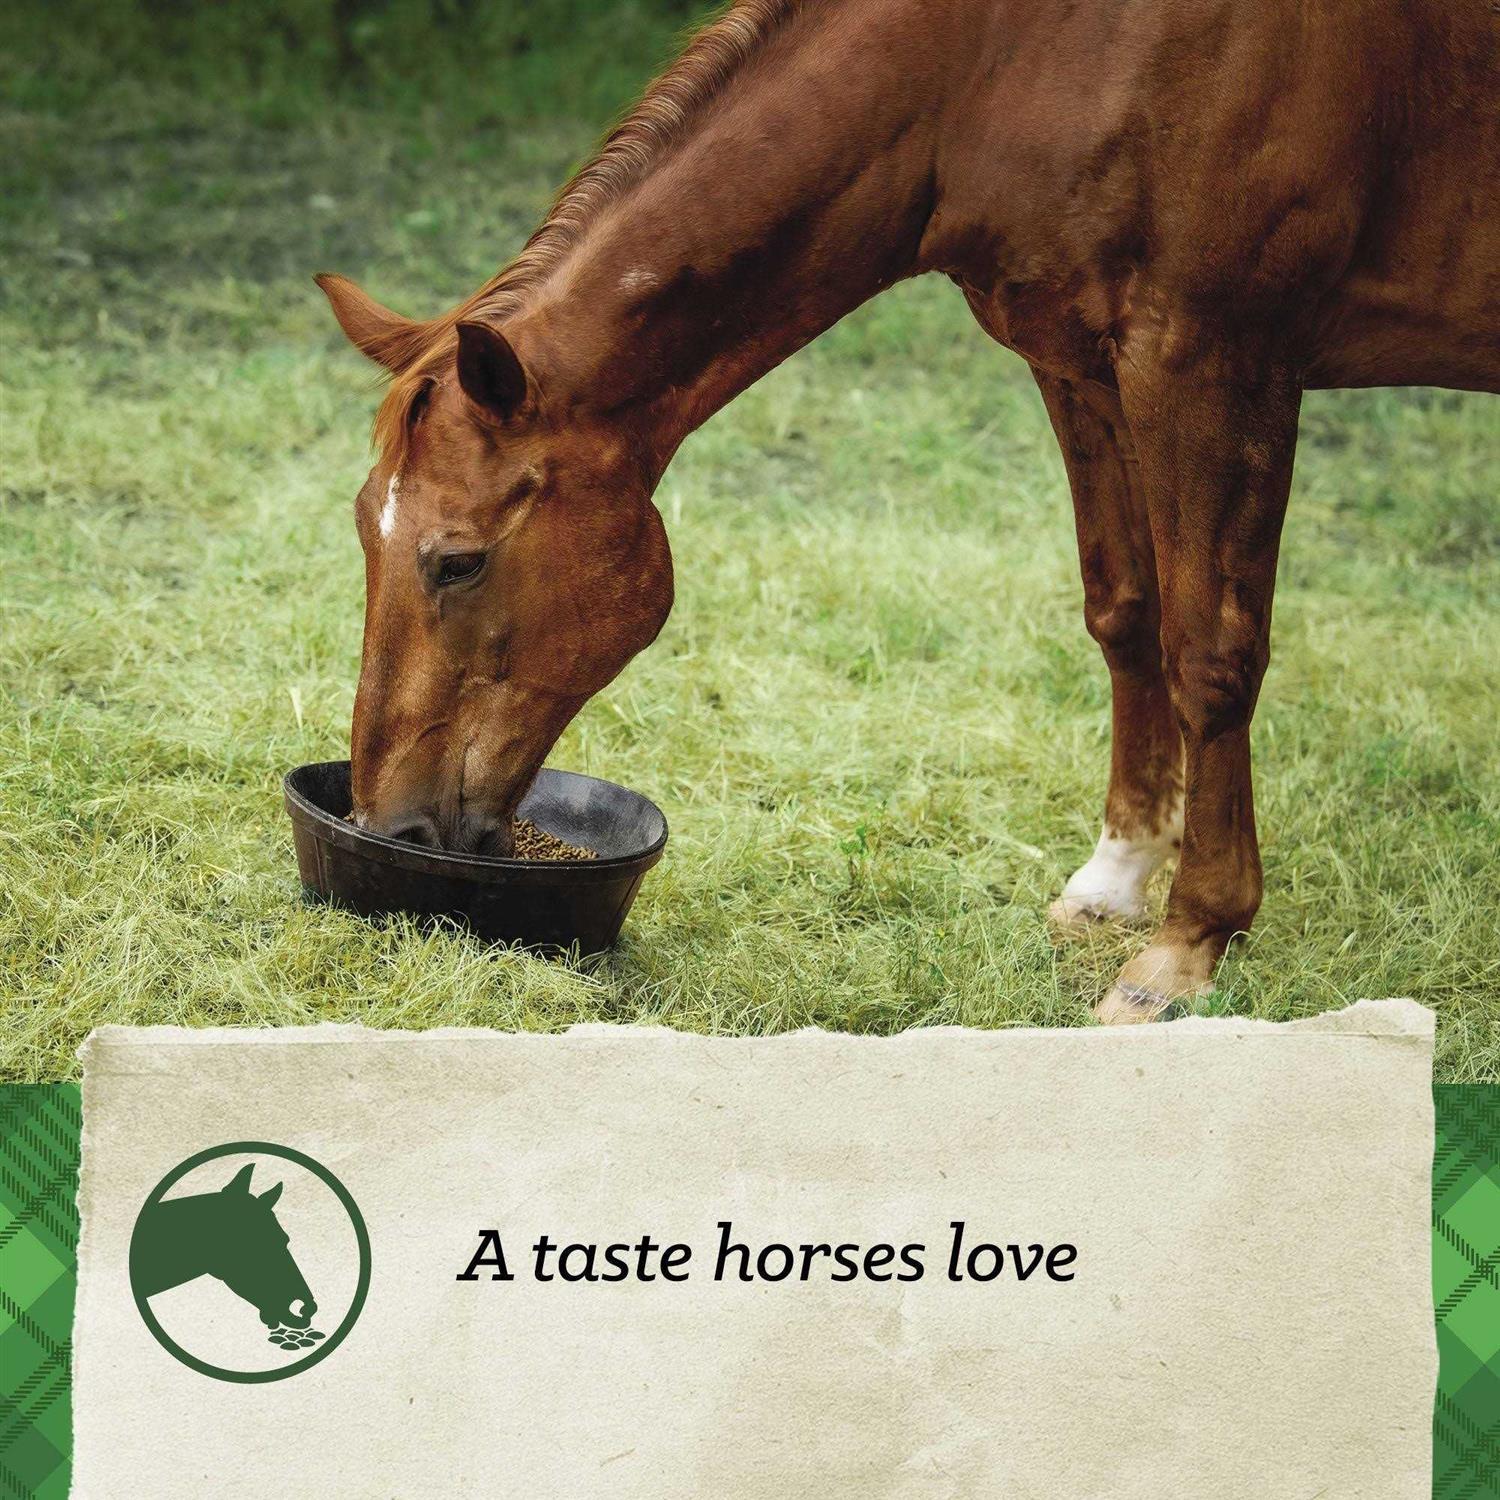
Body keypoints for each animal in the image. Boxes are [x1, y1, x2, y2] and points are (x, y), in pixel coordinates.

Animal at [316, 0, 1499, 1023]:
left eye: (457, 561)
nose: (388, 823)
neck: (1010, 59)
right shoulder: (1080, 363)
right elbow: (1127, 612)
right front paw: (1116, 882)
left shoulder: (1214, 363)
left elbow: (1211, 652)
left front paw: (1187, 944)